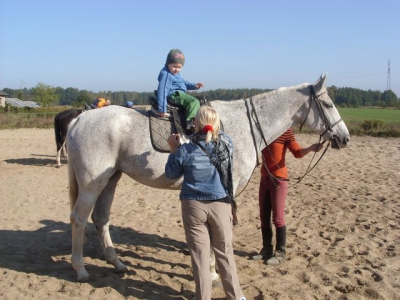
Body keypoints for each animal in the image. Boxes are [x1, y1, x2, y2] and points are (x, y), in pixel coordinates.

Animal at [67, 74, 348, 282]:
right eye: (328, 105)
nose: (344, 138)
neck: (241, 125)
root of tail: (79, 118)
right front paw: (214, 272)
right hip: (92, 184)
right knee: (79, 219)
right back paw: (80, 269)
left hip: (110, 180)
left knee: (101, 218)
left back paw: (116, 262)